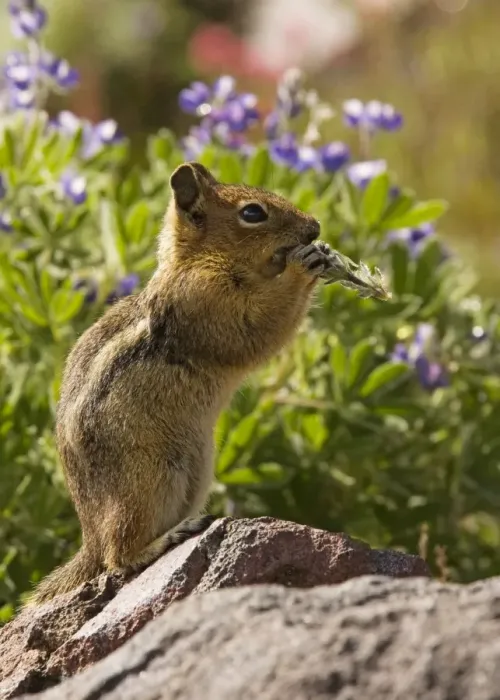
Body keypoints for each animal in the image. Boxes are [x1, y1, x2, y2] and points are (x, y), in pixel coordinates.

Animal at [26, 161, 333, 606]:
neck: (200, 261)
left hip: (196, 473)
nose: (315, 227)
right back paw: (164, 540)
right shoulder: (207, 300)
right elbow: (258, 327)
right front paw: (303, 264)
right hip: (147, 481)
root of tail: (89, 537)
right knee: (117, 557)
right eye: (253, 213)